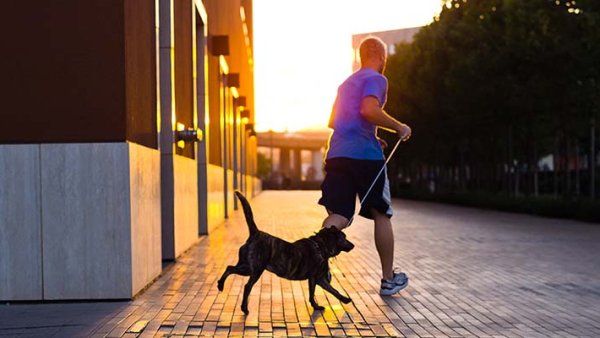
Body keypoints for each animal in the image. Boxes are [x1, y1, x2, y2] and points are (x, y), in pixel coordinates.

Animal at [217, 191, 354, 312]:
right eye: (344, 237)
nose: (353, 245)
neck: (320, 246)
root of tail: (255, 233)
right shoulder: (314, 278)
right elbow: (312, 294)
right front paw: (316, 306)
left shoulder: (321, 279)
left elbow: (333, 290)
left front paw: (345, 299)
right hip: (255, 270)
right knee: (246, 286)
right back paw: (244, 308)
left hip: (246, 266)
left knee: (229, 268)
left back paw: (220, 285)